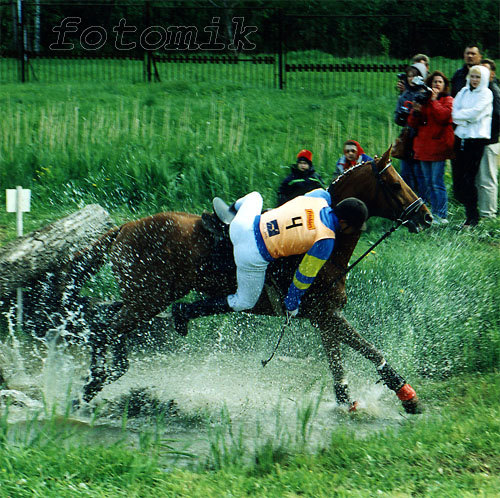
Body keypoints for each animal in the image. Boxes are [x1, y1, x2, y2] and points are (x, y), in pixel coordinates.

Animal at [61, 148, 430, 412]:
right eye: (395, 184)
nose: (426, 215)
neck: (334, 226)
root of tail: (124, 227)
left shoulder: (324, 317)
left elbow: (338, 363)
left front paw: (346, 403)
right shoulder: (323, 312)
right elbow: (368, 350)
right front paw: (406, 395)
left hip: (143, 295)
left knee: (104, 320)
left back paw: (105, 373)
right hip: (149, 297)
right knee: (109, 328)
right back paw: (98, 379)